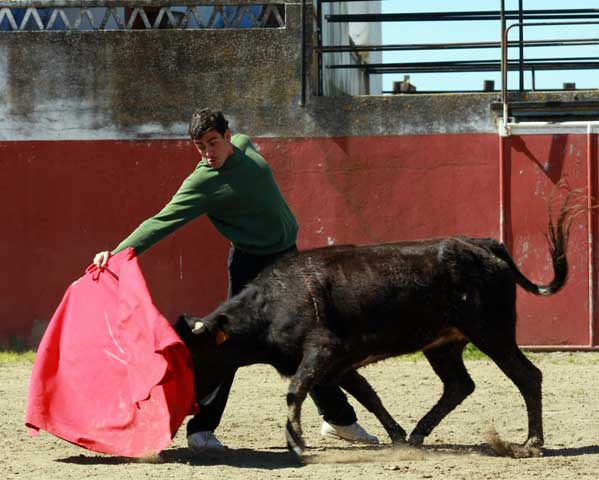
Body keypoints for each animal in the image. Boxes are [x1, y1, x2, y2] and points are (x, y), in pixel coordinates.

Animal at [178, 196, 576, 458]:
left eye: (197, 357)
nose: (190, 401)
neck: (273, 304)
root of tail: (483, 243)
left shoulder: (323, 351)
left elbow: (295, 391)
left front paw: (297, 443)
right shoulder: (339, 365)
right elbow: (369, 396)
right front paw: (396, 434)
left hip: (492, 332)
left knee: (526, 376)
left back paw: (531, 443)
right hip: (443, 344)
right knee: (459, 385)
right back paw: (417, 434)